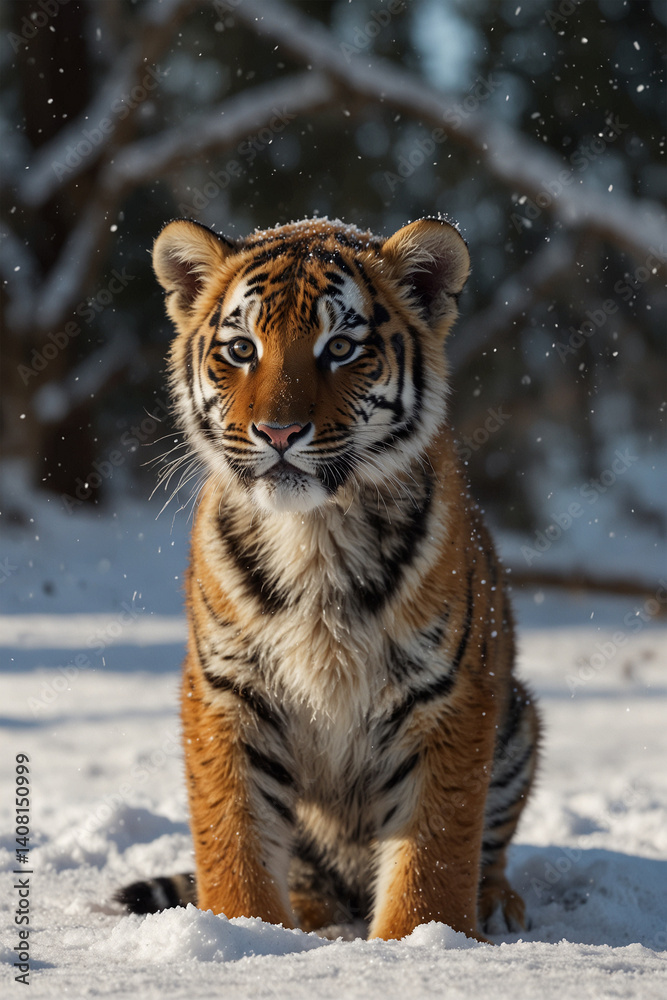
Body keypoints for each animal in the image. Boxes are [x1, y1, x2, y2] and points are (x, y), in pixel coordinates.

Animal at [116, 215, 540, 942]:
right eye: (241, 348)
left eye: (340, 347)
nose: (278, 431)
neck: (314, 533)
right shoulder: (227, 687)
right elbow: (233, 834)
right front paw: (243, 935)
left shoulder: (448, 693)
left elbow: (434, 848)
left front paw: (424, 943)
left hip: (518, 717)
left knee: (486, 852)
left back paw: (495, 906)